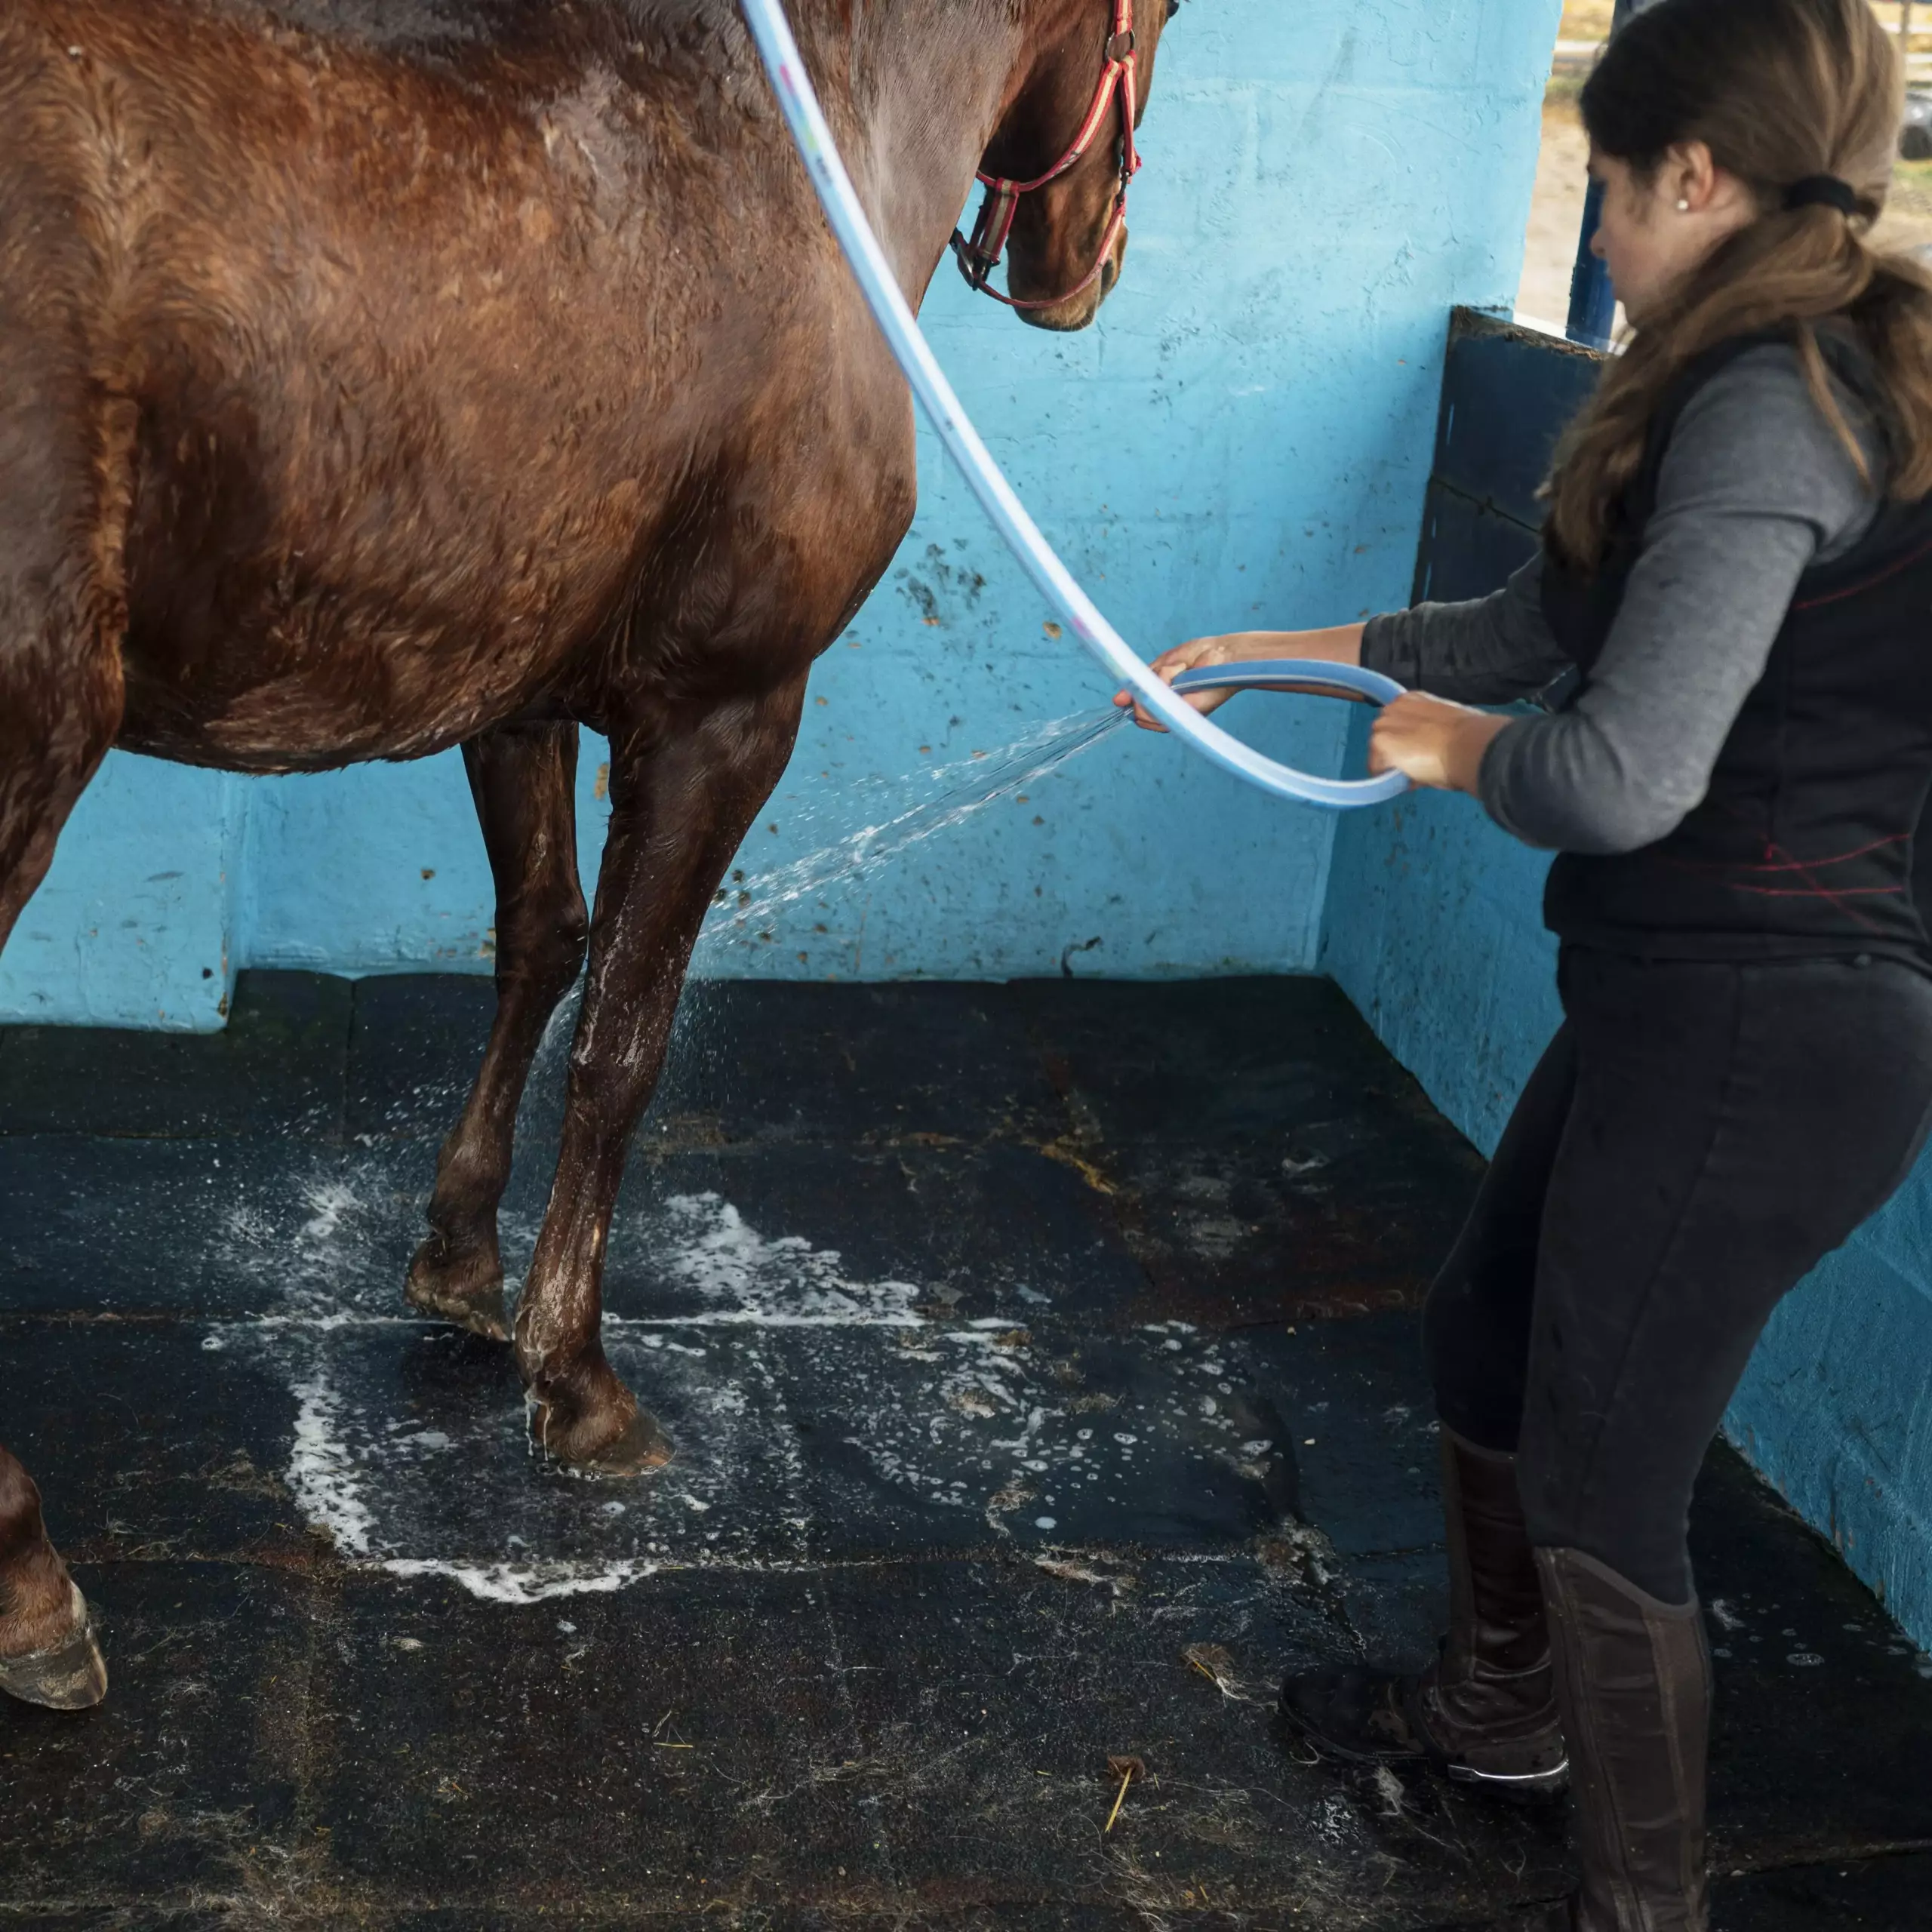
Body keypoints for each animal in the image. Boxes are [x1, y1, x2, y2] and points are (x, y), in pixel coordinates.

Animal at [0, 0, 1179, 1706]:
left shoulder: (516, 684)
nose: (1083, 267)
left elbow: (542, 939)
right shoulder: (725, 717)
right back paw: (27, 1571)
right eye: (1160, 21)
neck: (800, 140)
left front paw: (457, 1255)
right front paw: (577, 1375)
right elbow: (624, 1037)